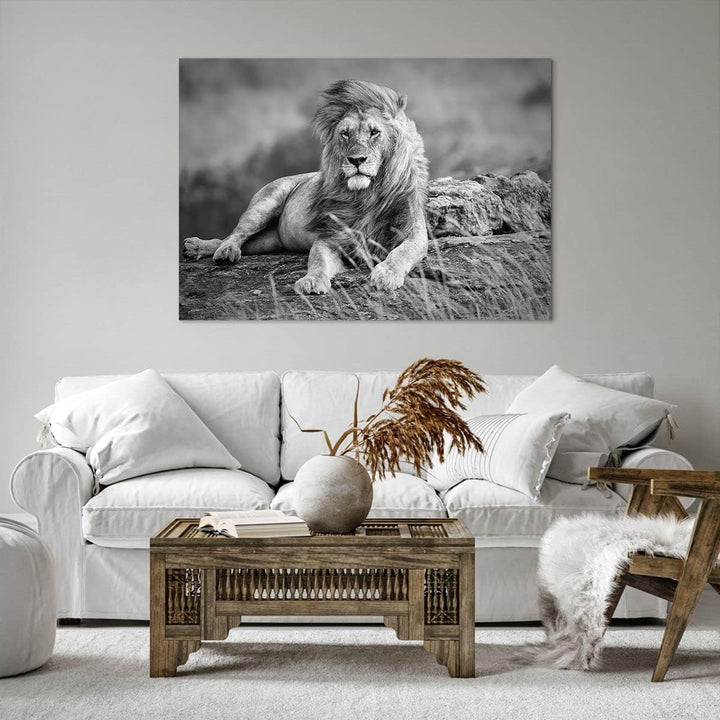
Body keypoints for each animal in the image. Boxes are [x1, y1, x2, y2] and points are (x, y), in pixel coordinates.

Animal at [184, 79, 430, 293]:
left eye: (374, 132)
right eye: (345, 134)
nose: (356, 160)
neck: (366, 194)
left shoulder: (414, 234)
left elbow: (402, 253)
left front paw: (387, 274)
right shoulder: (330, 238)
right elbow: (318, 261)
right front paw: (311, 281)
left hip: (269, 241)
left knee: (239, 242)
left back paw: (197, 248)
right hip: (264, 204)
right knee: (235, 234)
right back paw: (218, 250)